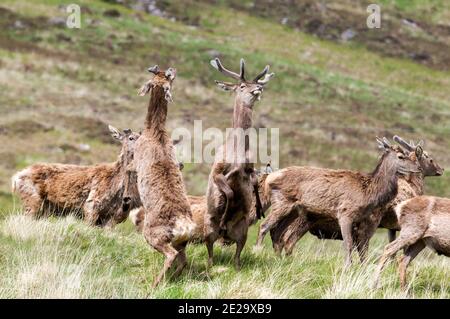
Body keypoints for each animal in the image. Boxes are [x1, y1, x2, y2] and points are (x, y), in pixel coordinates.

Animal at [134, 64, 197, 288]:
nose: (172, 70)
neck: (155, 131)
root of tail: (183, 226)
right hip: (183, 243)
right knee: (183, 259)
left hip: (154, 236)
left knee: (171, 255)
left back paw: (154, 284)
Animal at [204, 58, 274, 270]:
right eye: (242, 86)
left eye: (255, 83)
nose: (258, 88)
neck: (238, 153)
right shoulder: (217, 170)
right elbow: (228, 192)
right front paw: (224, 216)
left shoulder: (249, 170)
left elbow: (253, 185)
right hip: (207, 229)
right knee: (210, 252)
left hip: (242, 231)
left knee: (237, 255)